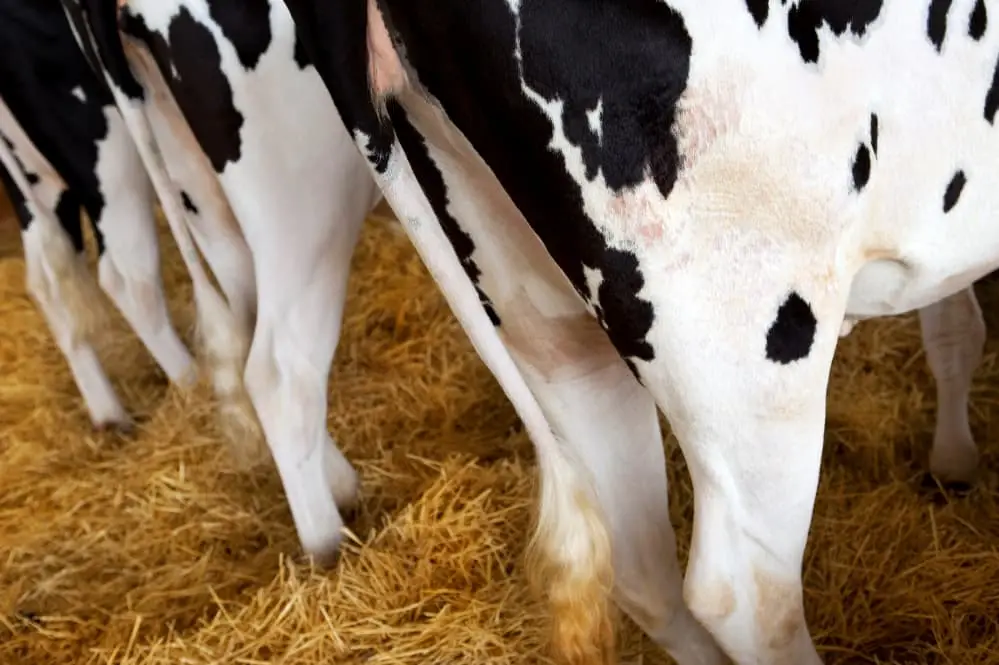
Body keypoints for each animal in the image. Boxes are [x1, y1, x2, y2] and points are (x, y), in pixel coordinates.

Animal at [277, 1, 999, 664]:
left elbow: (953, 323)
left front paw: (953, 460)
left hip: (535, 304)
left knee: (637, 561)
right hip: (752, 338)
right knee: (742, 591)